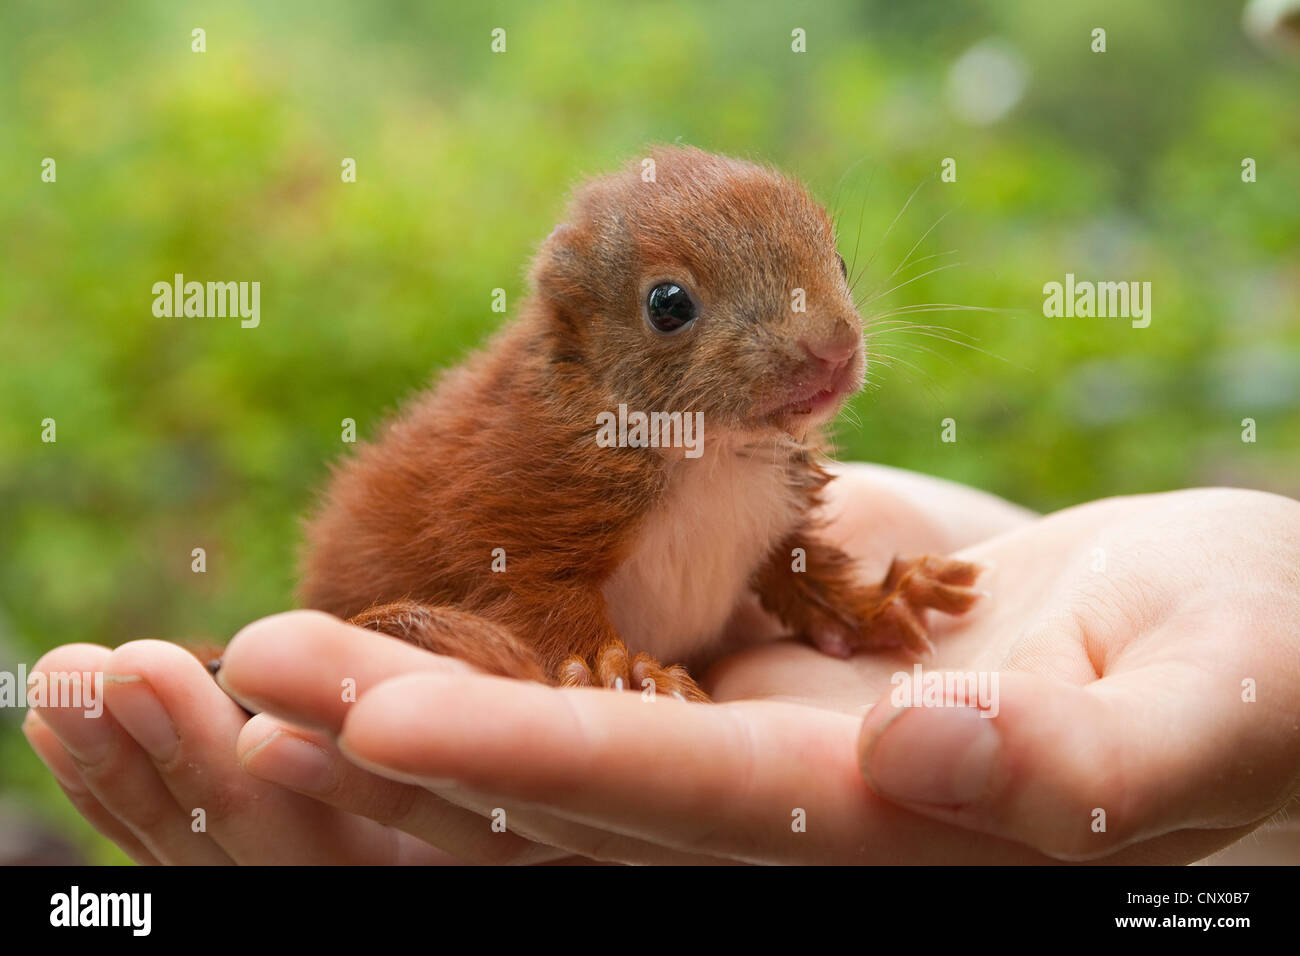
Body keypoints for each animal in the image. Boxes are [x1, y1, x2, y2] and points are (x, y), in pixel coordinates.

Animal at [297, 149, 982, 702]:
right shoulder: (507, 501)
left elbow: (805, 570)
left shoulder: (779, 506)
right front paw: (616, 667)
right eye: (668, 304)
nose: (835, 350)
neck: (711, 448)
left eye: (838, 261)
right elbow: (539, 592)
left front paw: (881, 603)